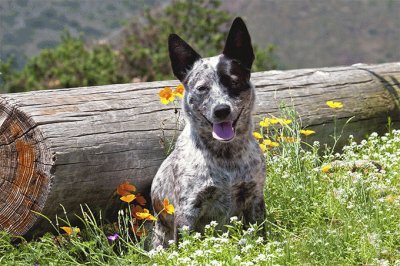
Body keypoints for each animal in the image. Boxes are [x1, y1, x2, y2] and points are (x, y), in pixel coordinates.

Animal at [150, 17, 266, 247]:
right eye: (202, 88)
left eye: (234, 81)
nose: (221, 110)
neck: (227, 157)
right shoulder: (188, 210)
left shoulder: (255, 197)